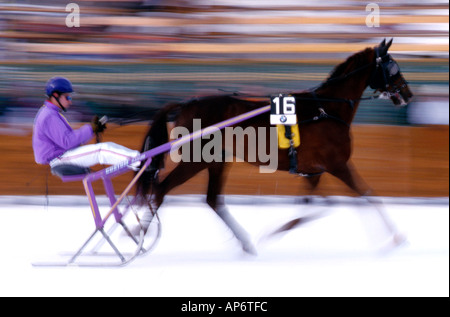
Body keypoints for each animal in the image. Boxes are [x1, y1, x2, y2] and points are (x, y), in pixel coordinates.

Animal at [135, 39, 414, 253]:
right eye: (393, 66)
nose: (408, 94)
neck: (326, 109)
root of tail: (186, 104)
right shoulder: (338, 165)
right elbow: (366, 194)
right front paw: (396, 237)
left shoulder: (314, 170)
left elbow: (315, 206)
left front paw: (276, 232)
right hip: (197, 160)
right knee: (161, 190)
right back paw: (140, 237)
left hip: (217, 160)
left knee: (212, 200)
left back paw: (245, 243)